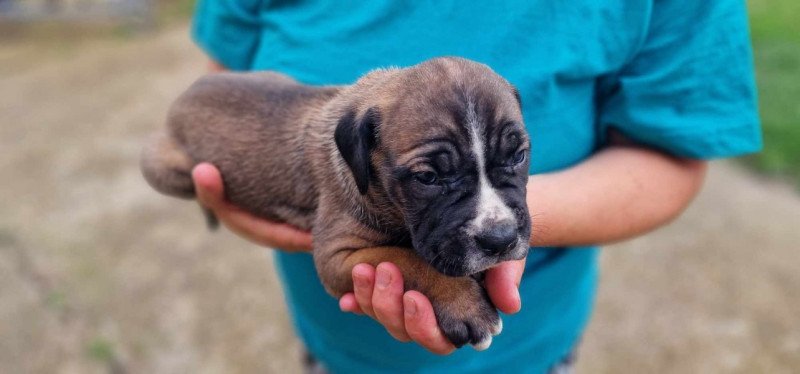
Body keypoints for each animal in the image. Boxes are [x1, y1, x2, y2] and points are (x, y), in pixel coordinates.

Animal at [141, 57, 532, 350]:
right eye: (428, 177)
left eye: (519, 156)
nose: (500, 239)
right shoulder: (338, 256)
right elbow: (406, 259)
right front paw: (464, 303)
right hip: (164, 167)